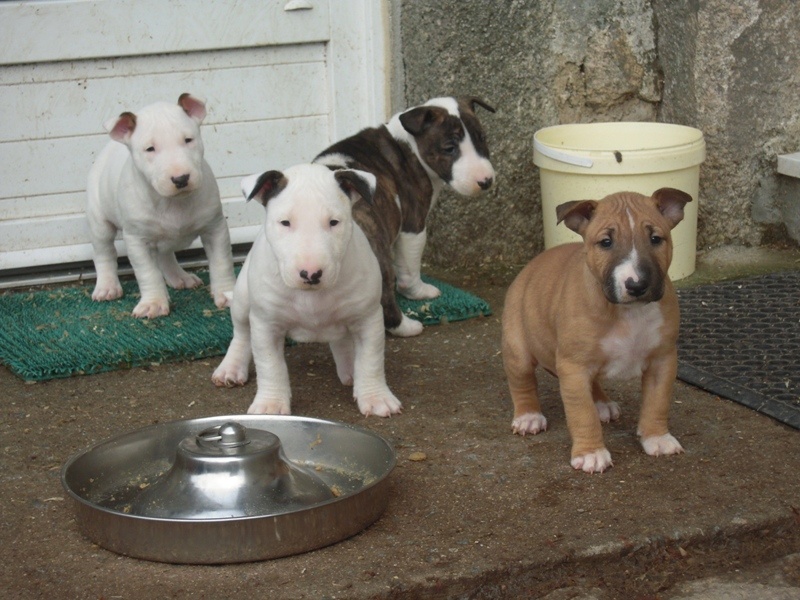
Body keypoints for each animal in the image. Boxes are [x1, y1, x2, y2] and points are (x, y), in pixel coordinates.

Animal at [89, 92, 238, 318]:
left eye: (188, 140)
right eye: (150, 149)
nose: (181, 179)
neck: (172, 202)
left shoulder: (215, 228)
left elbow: (222, 262)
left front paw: (227, 294)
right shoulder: (137, 240)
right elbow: (147, 272)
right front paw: (153, 304)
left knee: (165, 255)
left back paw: (180, 277)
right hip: (100, 221)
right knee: (104, 253)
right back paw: (107, 287)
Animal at [212, 164, 404, 418]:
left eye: (334, 222)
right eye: (285, 222)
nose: (311, 274)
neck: (312, 296)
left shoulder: (368, 318)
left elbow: (371, 360)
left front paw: (376, 398)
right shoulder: (266, 323)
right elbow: (270, 365)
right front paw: (271, 406)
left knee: (342, 340)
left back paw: (350, 368)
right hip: (243, 300)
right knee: (242, 333)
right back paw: (231, 369)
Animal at [504, 189, 692, 474]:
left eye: (656, 239)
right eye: (605, 242)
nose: (637, 285)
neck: (628, 311)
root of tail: (530, 266)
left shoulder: (663, 359)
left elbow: (657, 402)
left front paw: (656, 438)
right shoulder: (574, 366)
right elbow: (582, 414)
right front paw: (591, 453)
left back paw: (602, 404)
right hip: (518, 347)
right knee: (522, 382)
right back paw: (529, 416)